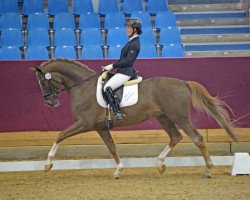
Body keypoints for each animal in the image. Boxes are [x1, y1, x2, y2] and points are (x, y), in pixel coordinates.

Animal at [33, 58, 238, 179]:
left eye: (43, 81)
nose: (49, 103)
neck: (82, 87)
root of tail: (183, 83)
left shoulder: (85, 123)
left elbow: (60, 135)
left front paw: (48, 163)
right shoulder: (100, 127)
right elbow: (112, 147)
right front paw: (118, 169)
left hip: (179, 117)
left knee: (197, 138)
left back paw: (208, 169)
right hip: (163, 118)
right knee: (175, 136)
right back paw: (160, 164)